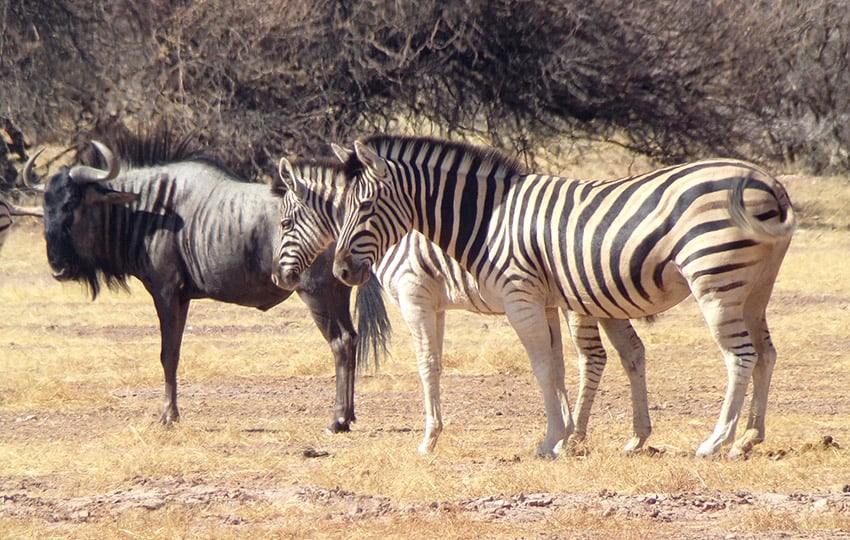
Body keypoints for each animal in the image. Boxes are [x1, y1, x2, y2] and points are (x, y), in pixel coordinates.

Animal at [272, 152, 648, 456]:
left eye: (285, 223)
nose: (278, 277)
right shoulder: (439, 304)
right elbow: (553, 365)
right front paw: (560, 432)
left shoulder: (415, 296)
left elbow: (428, 365)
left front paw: (429, 440)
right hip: (602, 299)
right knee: (630, 349)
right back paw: (624, 436)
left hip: (580, 301)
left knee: (593, 356)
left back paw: (583, 436)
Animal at [332, 136, 796, 460]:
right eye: (342, 206)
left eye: (366, 204)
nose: (340, 271)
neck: (487, 222)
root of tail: (768, 180)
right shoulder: (547, 300)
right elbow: (556, 368)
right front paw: (564, 438)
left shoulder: (515, 298)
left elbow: (535, 367)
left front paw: (549, 440)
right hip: (756, 287)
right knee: (766, 353)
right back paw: (749, 438)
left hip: (714, 280)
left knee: (739, 356)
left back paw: (716, 441)